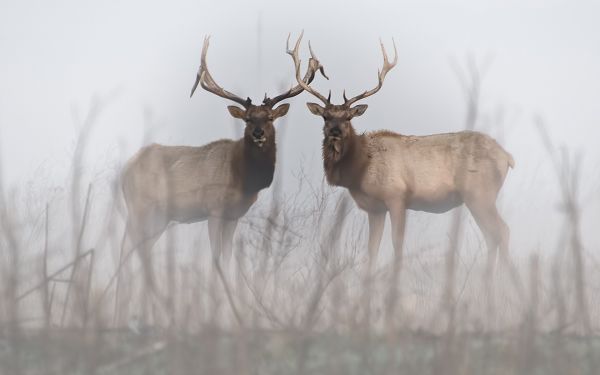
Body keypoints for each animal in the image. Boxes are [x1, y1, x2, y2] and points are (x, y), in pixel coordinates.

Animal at [288, 35, 512, 278]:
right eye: (326, 117)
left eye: (348, 117)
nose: (335, 131)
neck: (360, 170)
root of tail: (508, 157)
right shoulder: (375, 208)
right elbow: (372, 249)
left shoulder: (397, 196)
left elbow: (397, 243)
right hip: (478, 197)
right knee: (492, 236)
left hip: (480, 193)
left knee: (502, 231)